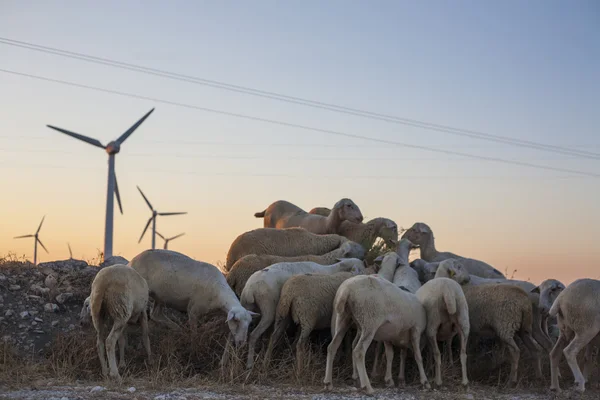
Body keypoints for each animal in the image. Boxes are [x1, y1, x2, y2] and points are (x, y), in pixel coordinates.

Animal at [129, 248, 258, 346]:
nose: (241, 343)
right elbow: (194, 332)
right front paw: (194, 343)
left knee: (156, 314)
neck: (220, 294)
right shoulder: (193, 310)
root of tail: (131, 261)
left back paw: (177, 329)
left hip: (161, 296)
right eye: (236, 320)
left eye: (249, 323)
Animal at [324, 264, 432, 392]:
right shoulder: (415, 329)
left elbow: (390, 355)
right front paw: (425, 381)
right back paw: (367, 386)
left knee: (332, 347)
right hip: (369, 321)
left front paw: (389, 381)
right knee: (359, 351)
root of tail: (346, 290)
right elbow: (418, 356)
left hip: (344, 318)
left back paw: (328, 383)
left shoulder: (388, 335)